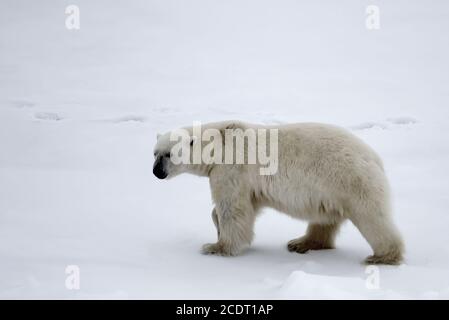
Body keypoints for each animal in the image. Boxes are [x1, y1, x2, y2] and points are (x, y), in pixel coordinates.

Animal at [153, 120, 402, 264]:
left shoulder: (232, 168)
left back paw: (384, 256)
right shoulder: (246, 182)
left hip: (351, 180)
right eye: (155, 153)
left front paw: (216, 247)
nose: (156, 172)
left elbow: (233, 209)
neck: (219, 143)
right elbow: (246, 207)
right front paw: (217, 230)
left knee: (373, 217)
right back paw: (301, 243)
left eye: (168, 154)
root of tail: (375, 158)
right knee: (324, 220)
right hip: (332, 191)